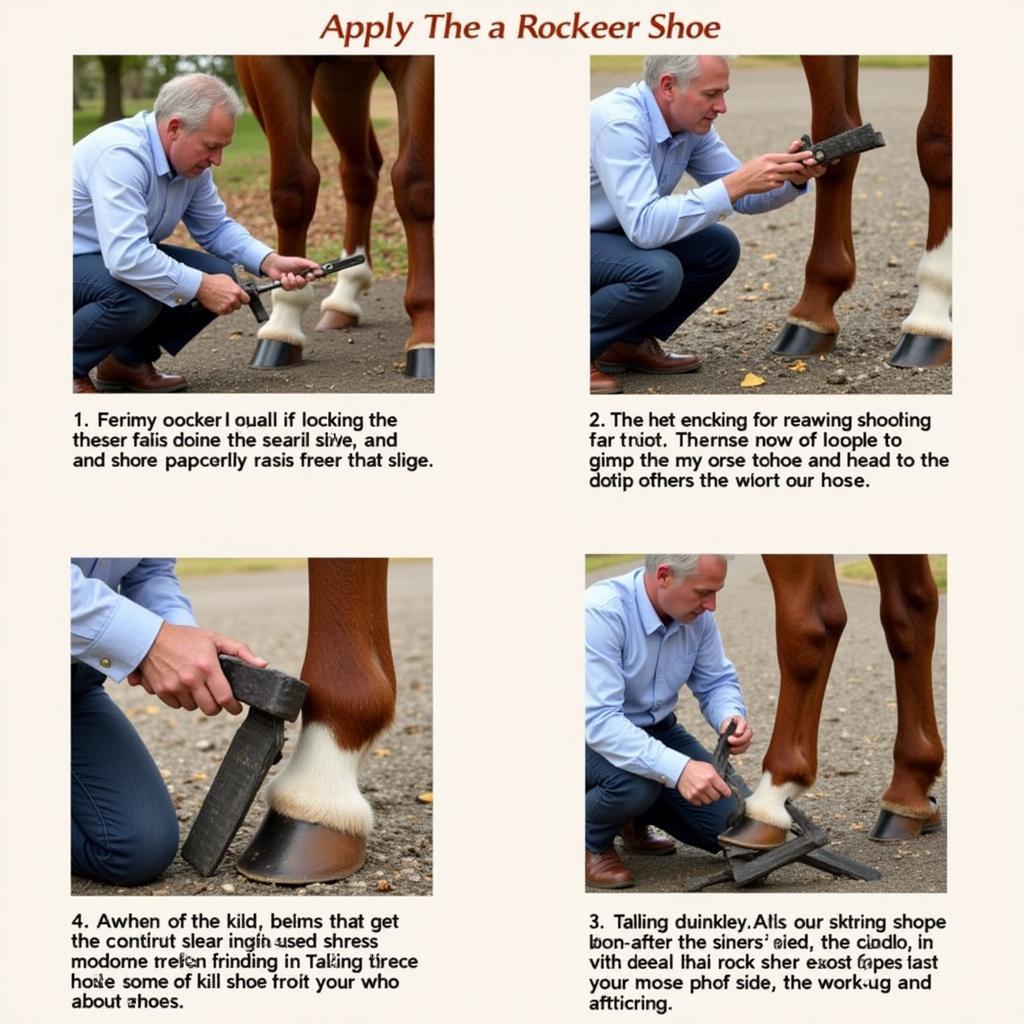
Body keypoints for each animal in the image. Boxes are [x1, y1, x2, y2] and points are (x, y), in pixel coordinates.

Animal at [234, 55, 434, 380]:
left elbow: (415, 183)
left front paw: (427, 332)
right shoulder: (269, 64)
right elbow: (292, 189)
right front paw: (283, 324)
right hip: (339, 81)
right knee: (360, 173)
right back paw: (346, 293)